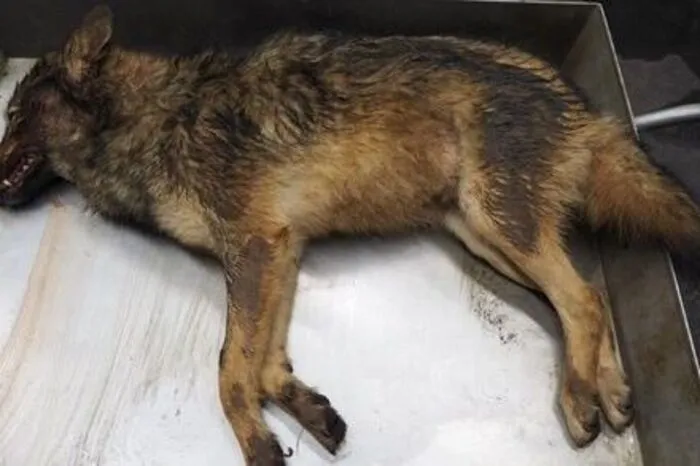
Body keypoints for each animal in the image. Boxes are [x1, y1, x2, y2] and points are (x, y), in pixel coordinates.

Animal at [1, 5, 697, 465]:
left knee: (581, 299)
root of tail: (587, 109)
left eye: (11, 113)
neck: (150, 117)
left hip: (499, 223)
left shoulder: (253, 249)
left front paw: (257, 444)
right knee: (587, 298)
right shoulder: (282, 250)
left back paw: (578, 397)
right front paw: (309, 411)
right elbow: (266, 363)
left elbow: (230, 368)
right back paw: (611, 392)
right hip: (485, 239)